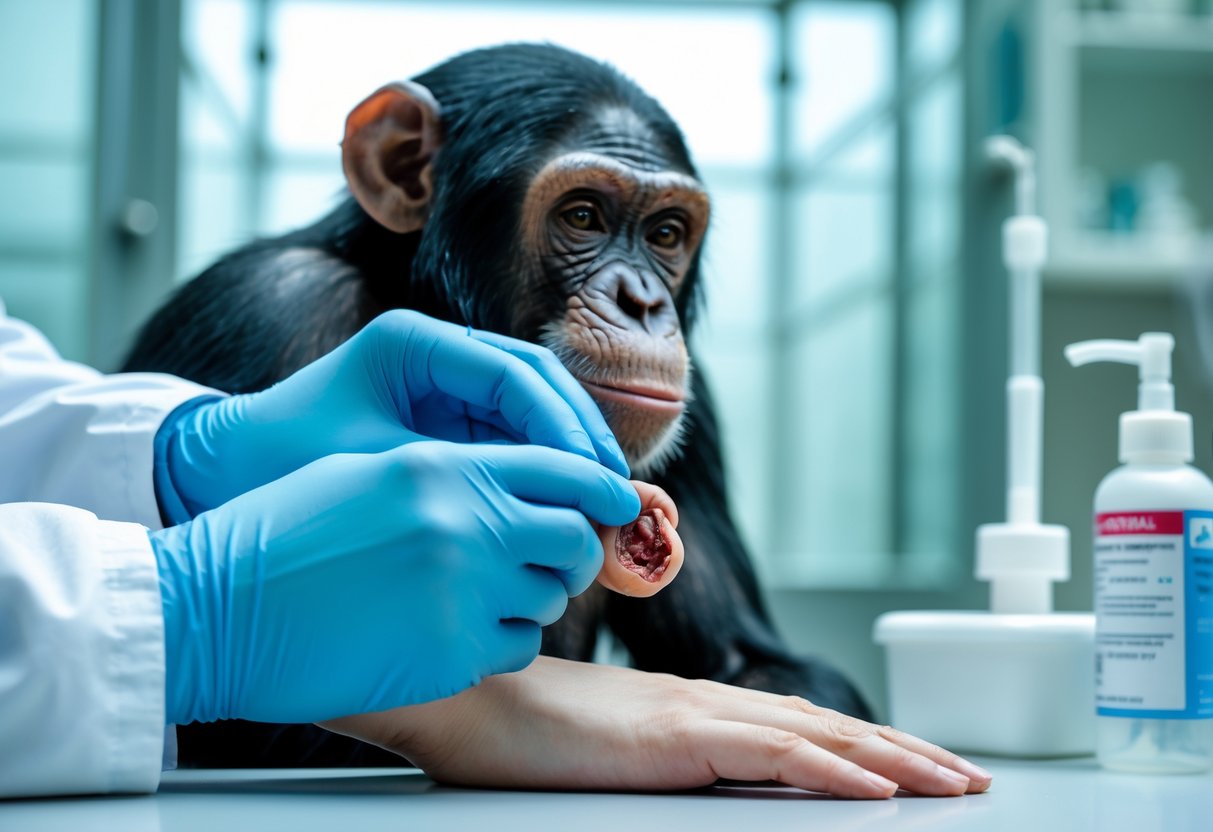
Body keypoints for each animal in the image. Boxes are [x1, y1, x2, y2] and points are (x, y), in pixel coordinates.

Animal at [124, 43, 873, 767]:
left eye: (664, 234)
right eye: (582, 216)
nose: (642, 302)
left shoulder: (701, 410)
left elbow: (752, 664)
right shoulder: (261, 307)